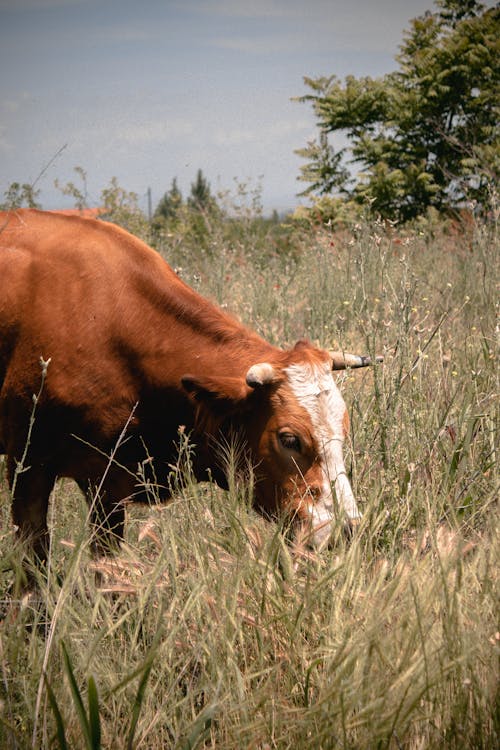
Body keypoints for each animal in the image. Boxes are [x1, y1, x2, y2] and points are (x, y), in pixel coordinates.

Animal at [0, 212, 378, 576]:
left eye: (343, 433)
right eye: (289, 439)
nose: (346, 530)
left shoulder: (107, 486)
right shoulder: (27, 468)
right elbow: (31, 575)